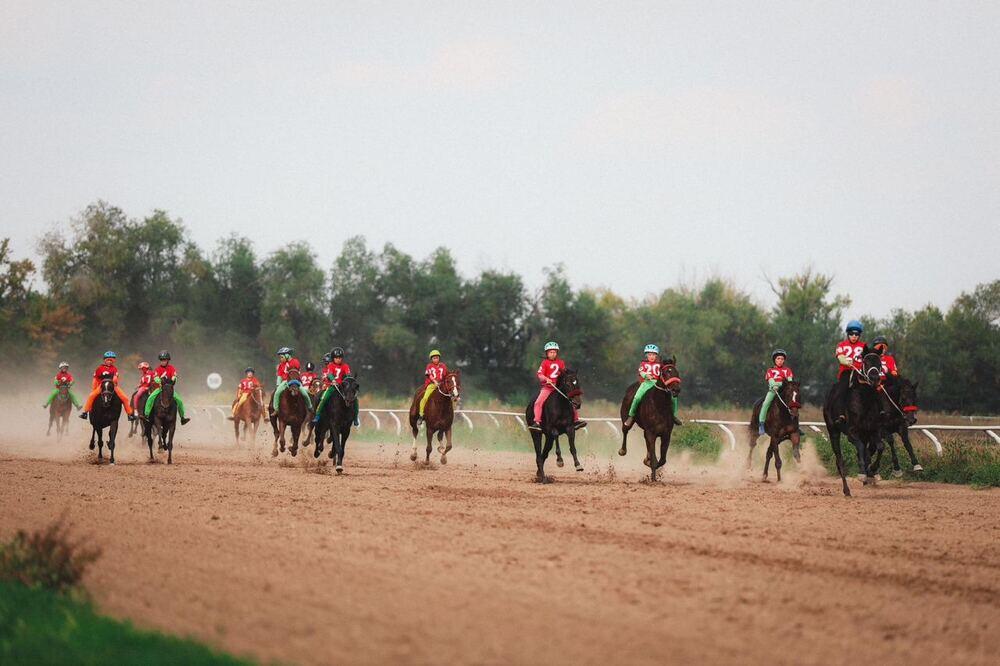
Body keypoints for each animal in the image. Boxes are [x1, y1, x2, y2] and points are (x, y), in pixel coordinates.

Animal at [820, 350, 884, 496]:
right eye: (865, 362)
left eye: (879, 362)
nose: (874, 378)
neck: (864, 401)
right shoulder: (851, 433)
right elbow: (860, 448)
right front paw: (862, 474)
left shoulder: (873, 430)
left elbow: (880, 446)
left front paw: (872, 470)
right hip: (833, 432)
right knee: (840, 460)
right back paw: (847, 490)